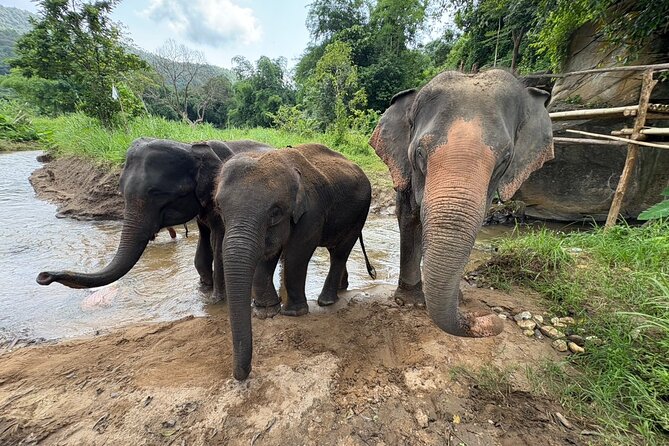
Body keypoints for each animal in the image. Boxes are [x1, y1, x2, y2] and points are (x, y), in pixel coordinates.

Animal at [36, 137, 273, 292]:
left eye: (158, 194)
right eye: (121, 190)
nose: (43, 276)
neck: (191, 147)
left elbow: (218, 241)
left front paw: (217, 299)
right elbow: (204, 241)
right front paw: (204, 290)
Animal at [211, 143, 376, 380]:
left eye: (275, 212)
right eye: (219, 208)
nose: (243, 375)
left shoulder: (312, 212)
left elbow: (296, 254)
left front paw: (294, 313)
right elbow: (267, 253)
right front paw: (266, 312)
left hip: (359, 214)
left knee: (340, 252)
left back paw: (326, 301)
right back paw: (340, 290)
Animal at [369, 69, 553, 338]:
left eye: (505, 159)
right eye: (420, 153)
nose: (489, 318)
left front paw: (458, 299)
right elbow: (409, 216)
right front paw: (411, 303)